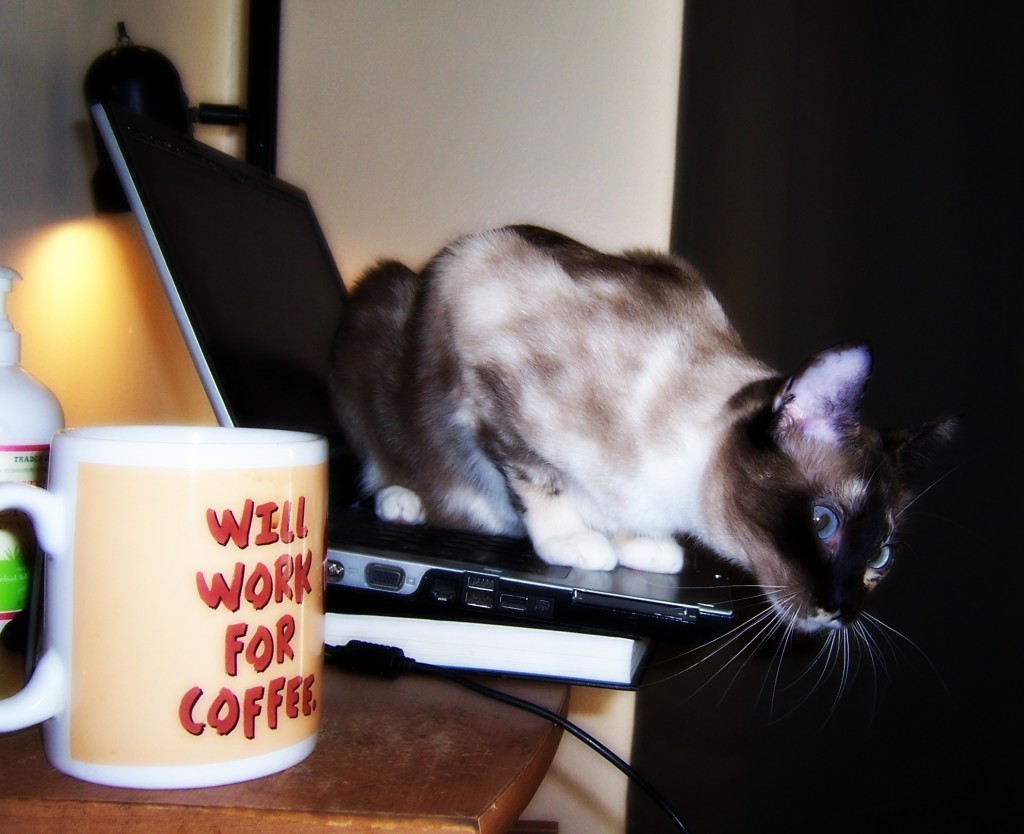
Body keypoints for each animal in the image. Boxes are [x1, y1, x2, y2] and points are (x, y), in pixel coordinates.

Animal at [327, 225, 950, 635]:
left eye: (880, 558)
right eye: (823, 523)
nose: (842, 610)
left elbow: (619, 513)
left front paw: (639, 546)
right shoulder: (487, 354)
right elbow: (541, 482)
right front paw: (576, 542)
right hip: (380, 301)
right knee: (379, 463)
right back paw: (400, 501)